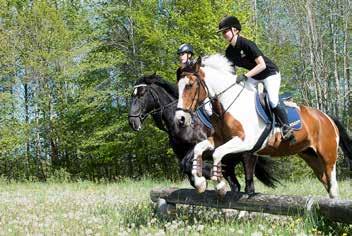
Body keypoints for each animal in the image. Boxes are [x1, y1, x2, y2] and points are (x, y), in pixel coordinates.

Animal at [128, 74, 280, 194]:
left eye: (141, 95)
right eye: (132, 96)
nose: (132, 122)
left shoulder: (201, 146)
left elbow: (188, 165)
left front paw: (205, 177)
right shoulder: (184, 153)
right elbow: (186, 168)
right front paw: (204, 180)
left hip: (246, 155)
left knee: (249, 186)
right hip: (230, 160)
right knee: (235, 185)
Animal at [176, 54, 352, 198]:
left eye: (190, 85)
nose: (180, 118)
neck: (227, 104)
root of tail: (327, 118)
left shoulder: (245, 142)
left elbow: (217, 153)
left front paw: (219, 186)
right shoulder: (220, 139)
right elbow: (199, 148)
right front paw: (200, 183)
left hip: (328, 157)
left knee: (333, 185)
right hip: (310, 156)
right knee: (326, 183)